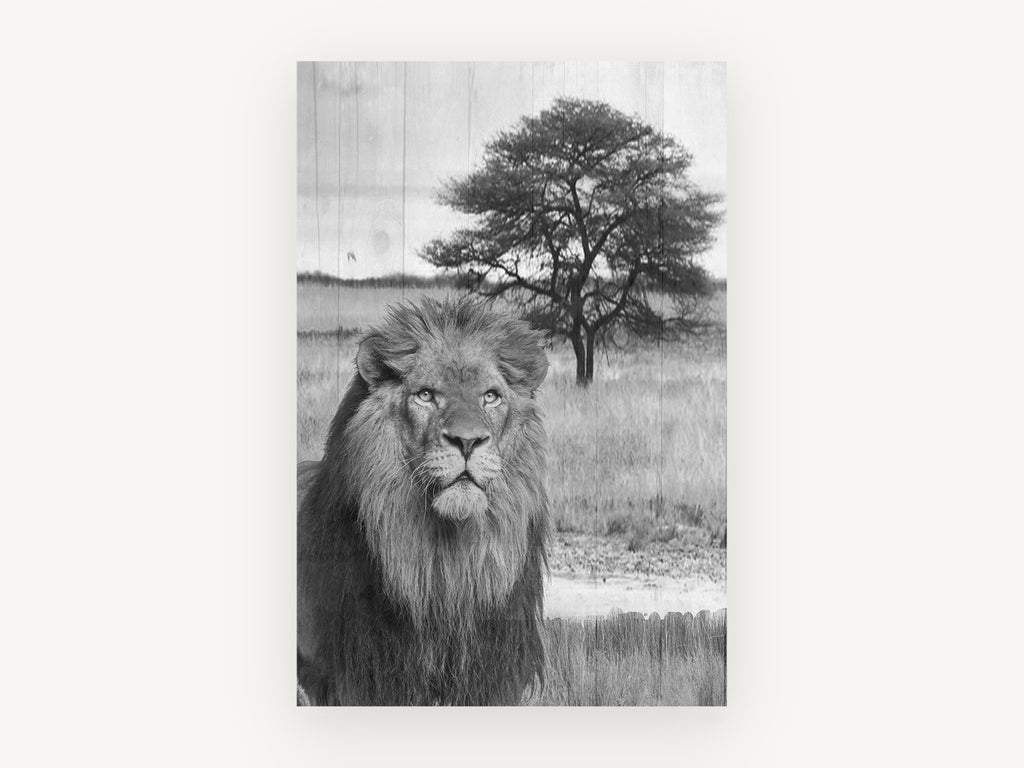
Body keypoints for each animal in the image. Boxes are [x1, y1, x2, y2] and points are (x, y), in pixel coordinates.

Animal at [297, 298, 550, 705]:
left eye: (490, 396)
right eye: (427, 395)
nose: (467, 441)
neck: (448, 563)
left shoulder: (488, 678)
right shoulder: (372, 679)